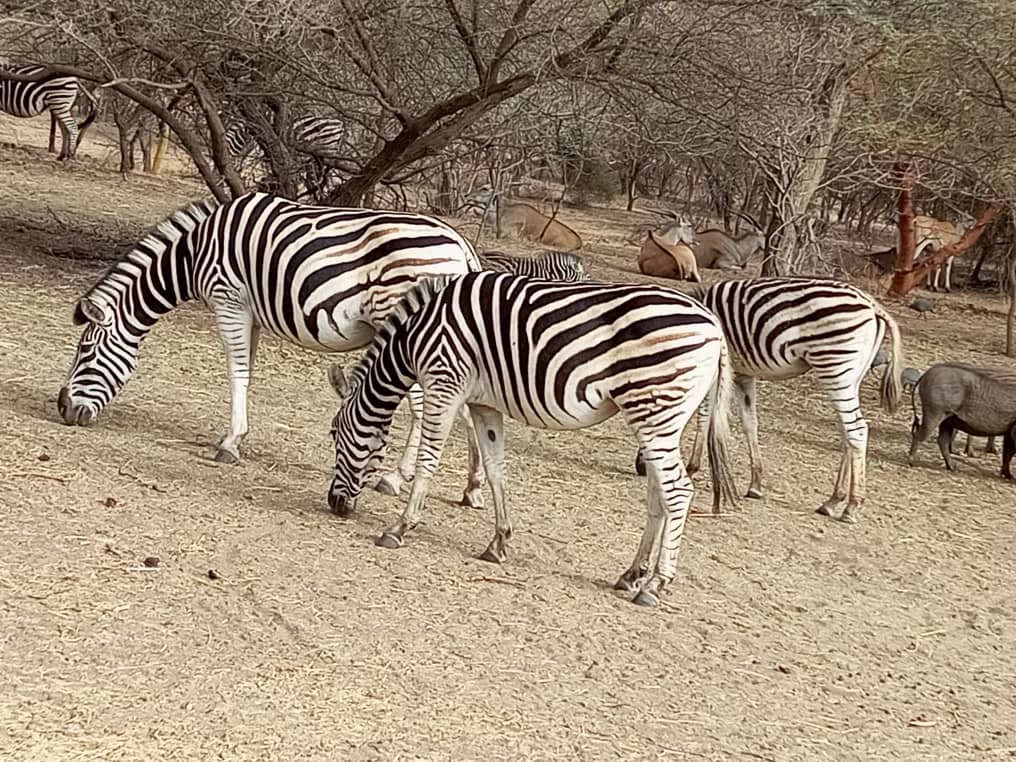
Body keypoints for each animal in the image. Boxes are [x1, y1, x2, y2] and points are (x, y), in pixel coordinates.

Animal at [58, 191, 488, 507]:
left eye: (86, 351)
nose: (63, 409)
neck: (193, 252)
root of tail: (462, 245)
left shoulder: (228, 299)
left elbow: (236, 372)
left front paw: (230, 443)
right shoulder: (252, 313)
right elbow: (246, 368)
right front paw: (235, 435)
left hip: (405, 327)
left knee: (424, 409)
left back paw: (396, 478)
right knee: (466, 410)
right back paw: (472, 487)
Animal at [325, 271, 738, 608]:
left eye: (333, 434)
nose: (334, 504)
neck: (415, 336)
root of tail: (714, 326)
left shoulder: (444, 384)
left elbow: (430, 459)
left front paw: (399, 527)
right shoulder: (483, 403)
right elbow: (496, 469)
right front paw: (498, 542)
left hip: (654, 409)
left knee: (678, 491)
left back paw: (655, 585)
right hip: (662, 419)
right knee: (660, 494)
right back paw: (632, 574)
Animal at [635, 277, 903, 524]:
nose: (640, 468)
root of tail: (871, 304)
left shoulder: (717, 370)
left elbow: (704, 417)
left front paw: (692, 466)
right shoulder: (743, 374)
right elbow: (749, 423)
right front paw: (756, 483)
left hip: (836, 368)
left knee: (857, 430)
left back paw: (851, 506)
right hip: (852, 375)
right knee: (848, 434)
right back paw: (833, 501)